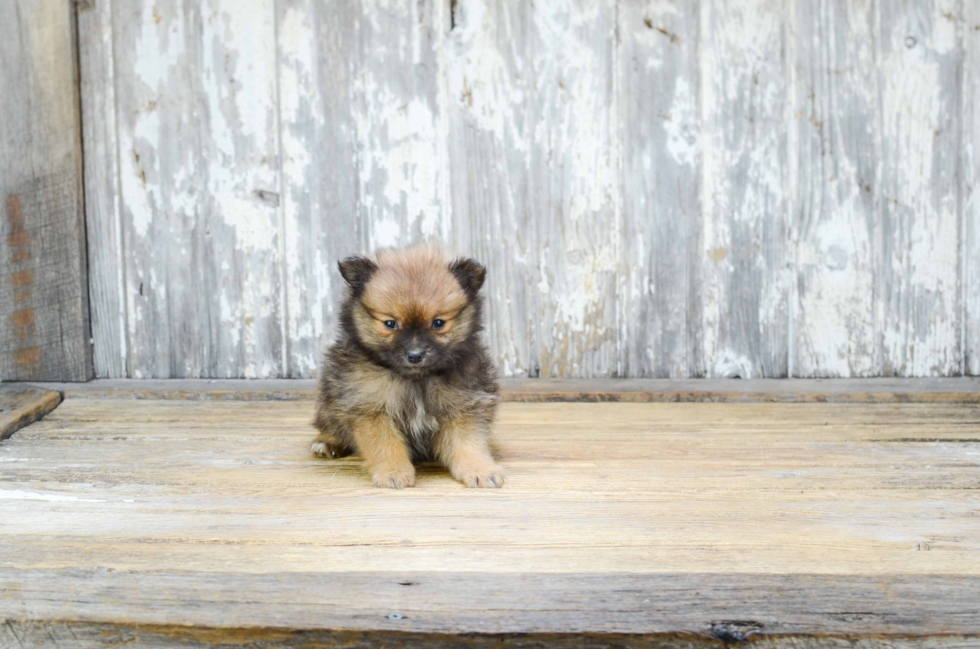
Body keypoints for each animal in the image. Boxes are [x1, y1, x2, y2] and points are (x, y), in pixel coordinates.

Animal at [310, 246, 502, 488]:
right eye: (390, 324)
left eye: (438, 323)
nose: (415, 355)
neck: (416, 379)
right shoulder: (371, 409)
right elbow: (385, 445)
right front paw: (393, 473)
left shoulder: (463, 406)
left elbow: (469, 443)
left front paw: (481, 470)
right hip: (329, 402)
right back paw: (328, 443)